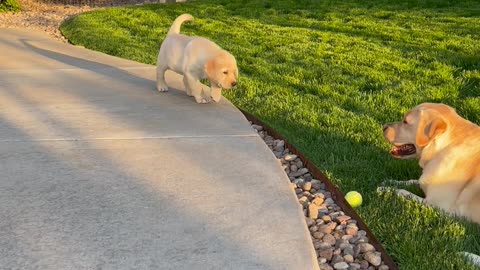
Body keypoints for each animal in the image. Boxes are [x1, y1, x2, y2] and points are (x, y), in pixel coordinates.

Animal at [380, 103, 478, 266]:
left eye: (405, 121)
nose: (383, 127)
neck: (442, 148)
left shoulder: (439, 206)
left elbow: (403, 192)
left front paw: (386, 189)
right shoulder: (424, 180)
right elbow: (411, 181)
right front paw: (389, 181)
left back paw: (468, 256)